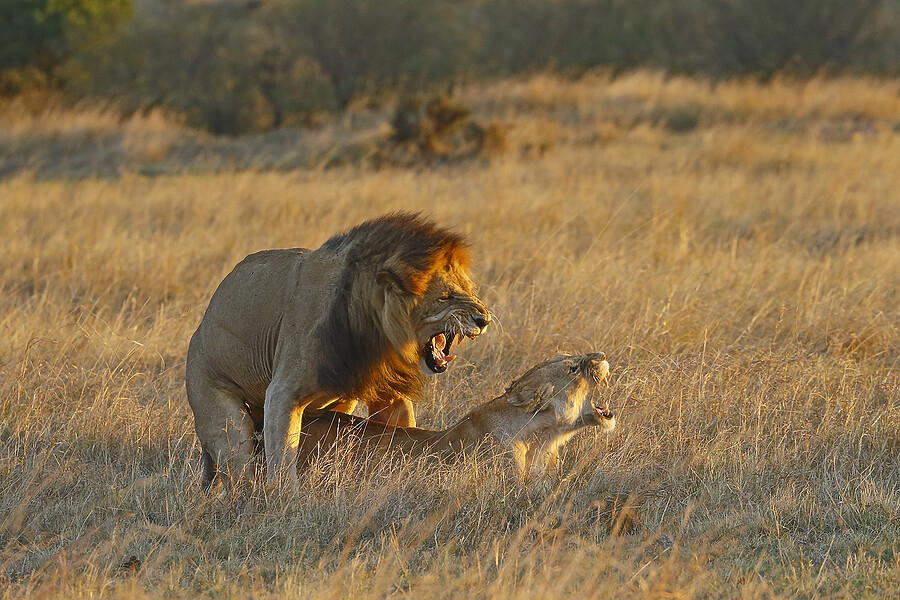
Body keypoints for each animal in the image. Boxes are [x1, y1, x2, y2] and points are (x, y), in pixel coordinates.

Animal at [186, 212, 491, 491]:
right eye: (445, 297)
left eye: (469, 289)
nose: (484, 319)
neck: (374, 330)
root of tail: (199, 331)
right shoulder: (282, 392)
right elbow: (283, 457)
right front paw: (288, 502)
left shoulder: (389, 391)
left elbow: (403, 430)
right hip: (222, 413)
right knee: (239, 471)